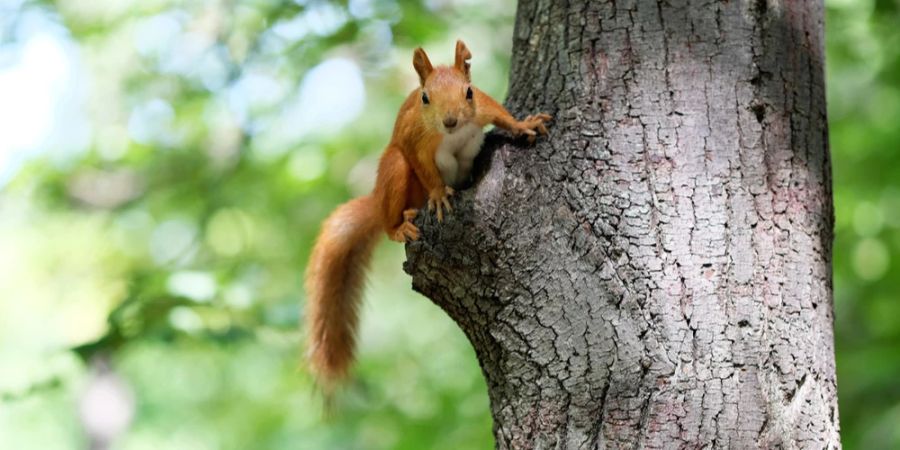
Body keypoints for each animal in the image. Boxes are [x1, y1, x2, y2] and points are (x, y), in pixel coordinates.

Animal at [306, 39, 552, 390]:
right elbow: (425, 167)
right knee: (391, 206)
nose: (449, 121)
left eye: (468, 92)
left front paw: (525, 124)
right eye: (425, 97)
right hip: (395, 174)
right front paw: (438, 196)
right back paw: (400, 225)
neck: (453, 134)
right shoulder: (417, 139)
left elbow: (502, 116)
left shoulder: (484, 108)